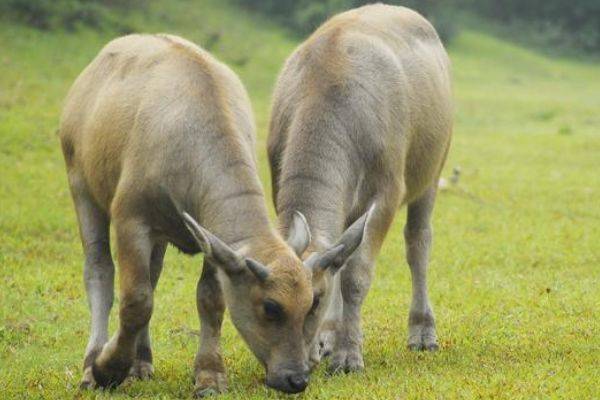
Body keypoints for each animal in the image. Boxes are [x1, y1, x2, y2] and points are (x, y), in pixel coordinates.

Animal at [59, 33, 328, 394]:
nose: (296, 378)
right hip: (82, 187)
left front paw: (209, 374)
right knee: (100, 271)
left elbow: (210, 299)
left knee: (153, 275)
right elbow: (136, 301)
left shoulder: (213, 240)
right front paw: (108, 368)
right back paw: (92, 362)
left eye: (311, 303)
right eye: (271, 307)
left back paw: (141, 361)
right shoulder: (131, 221)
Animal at [270, 3, 452, 374]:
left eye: (315, 301)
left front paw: (348, 355)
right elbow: (337, 264)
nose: (295, 363)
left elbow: (355, 276)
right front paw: (330, 341)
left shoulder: (386, 194)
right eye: (269, 305)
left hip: (431, 171)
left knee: (418, 243)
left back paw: (422, 331)